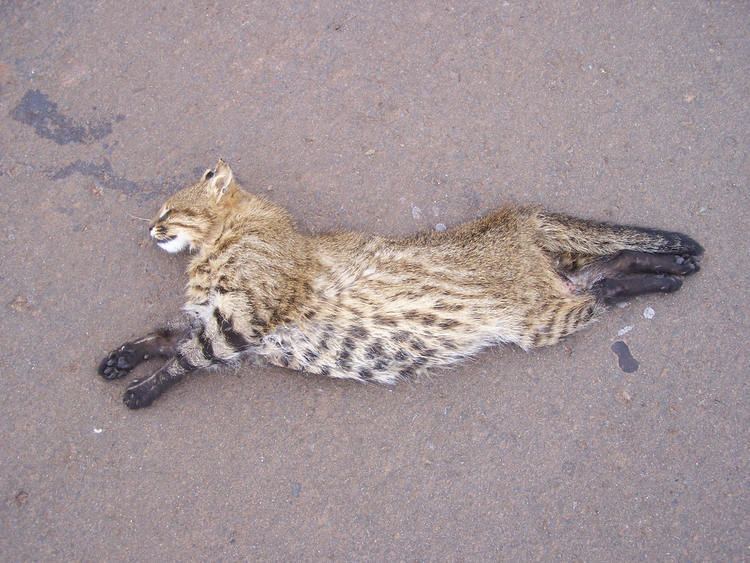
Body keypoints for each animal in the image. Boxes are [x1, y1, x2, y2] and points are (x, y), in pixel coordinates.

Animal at [98, 161, 704, 408]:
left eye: (169, 209)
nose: (150, 227)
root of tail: (514, 218)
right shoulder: (225, 319)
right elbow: (164, 334)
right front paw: (123, 357)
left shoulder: (243, 319)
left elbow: (186, 356)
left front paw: (142, 389)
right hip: (551, 297)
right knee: (609, 269)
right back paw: (675, 269)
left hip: (539, 316)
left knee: (603, 287)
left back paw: (671, 272)